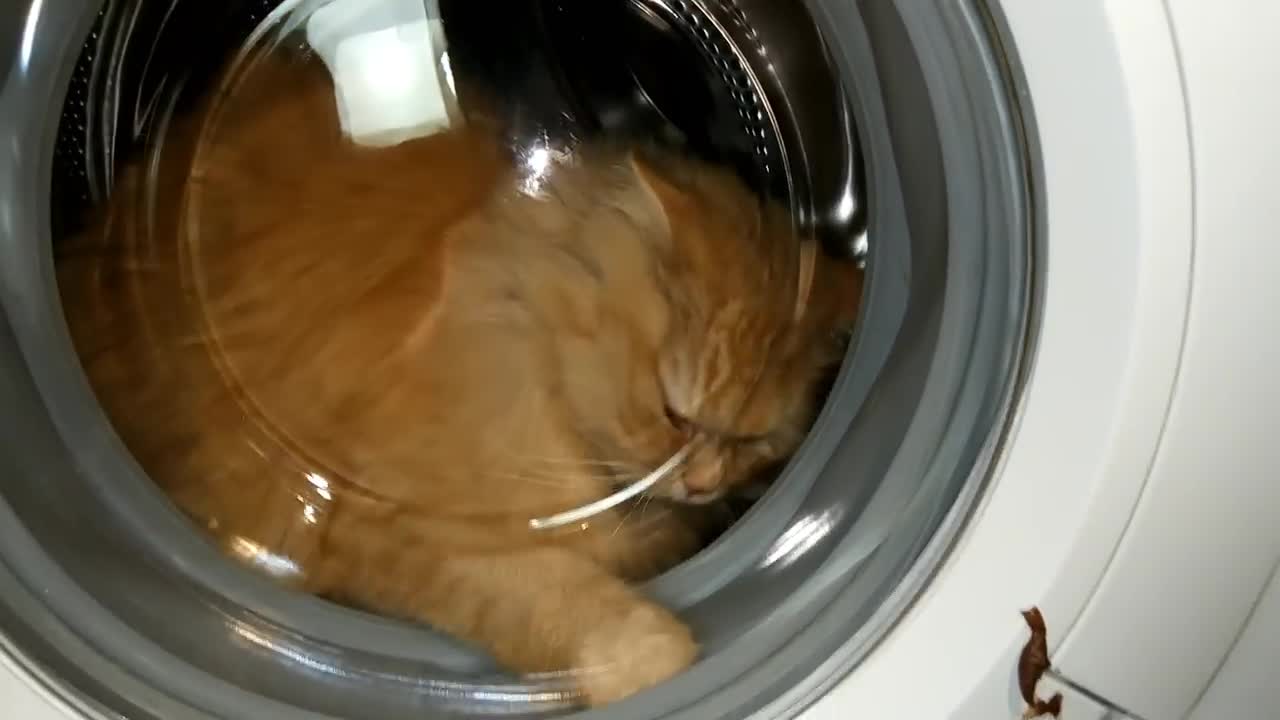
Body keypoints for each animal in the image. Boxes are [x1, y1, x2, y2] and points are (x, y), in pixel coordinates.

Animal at [57, 54, 860, 702]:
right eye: (674, 415)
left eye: (755, 441)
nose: (702, 485)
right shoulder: (394, 527)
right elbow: (553, 599)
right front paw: (649, 659)